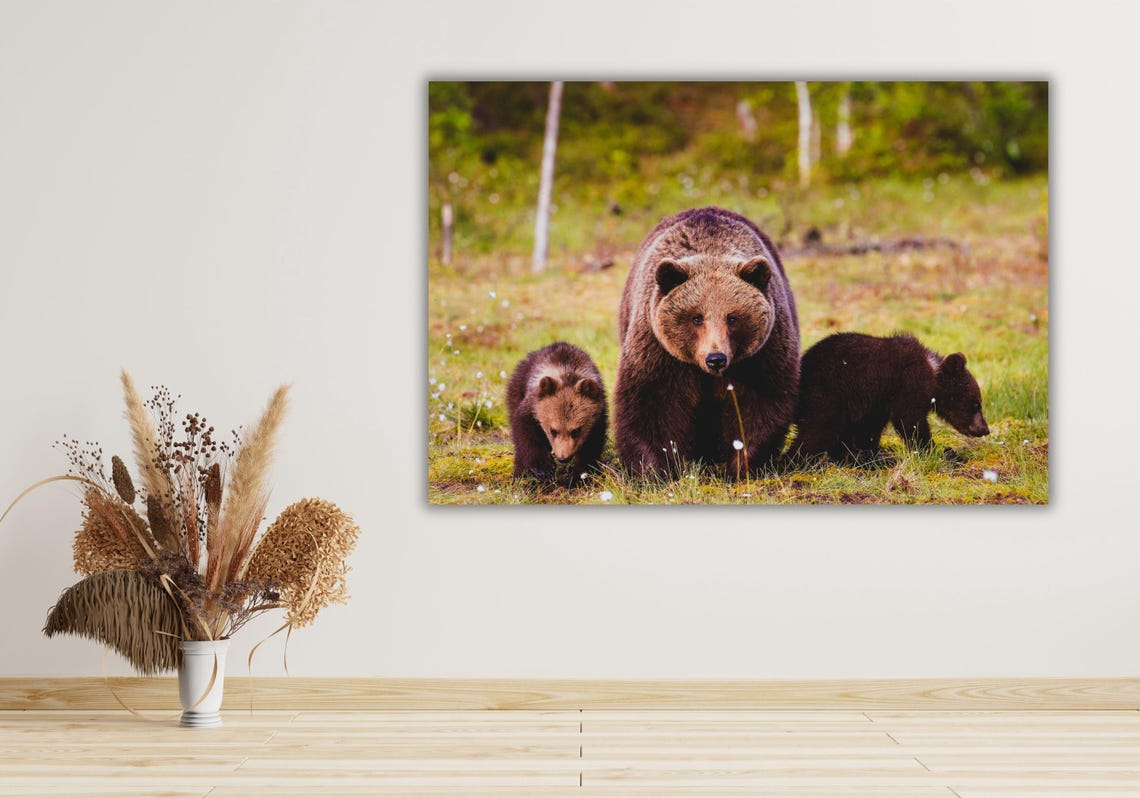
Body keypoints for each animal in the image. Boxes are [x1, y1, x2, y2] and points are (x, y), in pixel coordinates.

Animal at [505, 342, 608, 486]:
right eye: (553, 430)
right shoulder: (532, 406)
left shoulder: (598, 416)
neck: (567, 372)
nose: (563, 457)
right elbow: (525, 431)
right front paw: (543, 468)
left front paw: (581, 474)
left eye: (576, 431)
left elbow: (593, 443)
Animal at [614, 206, 800, 476]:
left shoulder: (760, 355)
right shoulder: (659, 353)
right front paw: (654, 469)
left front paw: (740, 464)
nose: (716, 358)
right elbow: (649, 405)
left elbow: (759, 403)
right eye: (696, 317)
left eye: (732, 317)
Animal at [790, 332, 990, 464]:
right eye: (976, 404)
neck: (933, 376)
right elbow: (910, 421)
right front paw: (934, 451)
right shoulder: (907, 385)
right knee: (817, 430)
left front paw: (868, 452)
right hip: (827, 393)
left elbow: (869, 429)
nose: (984, 429)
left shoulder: (878, 402)